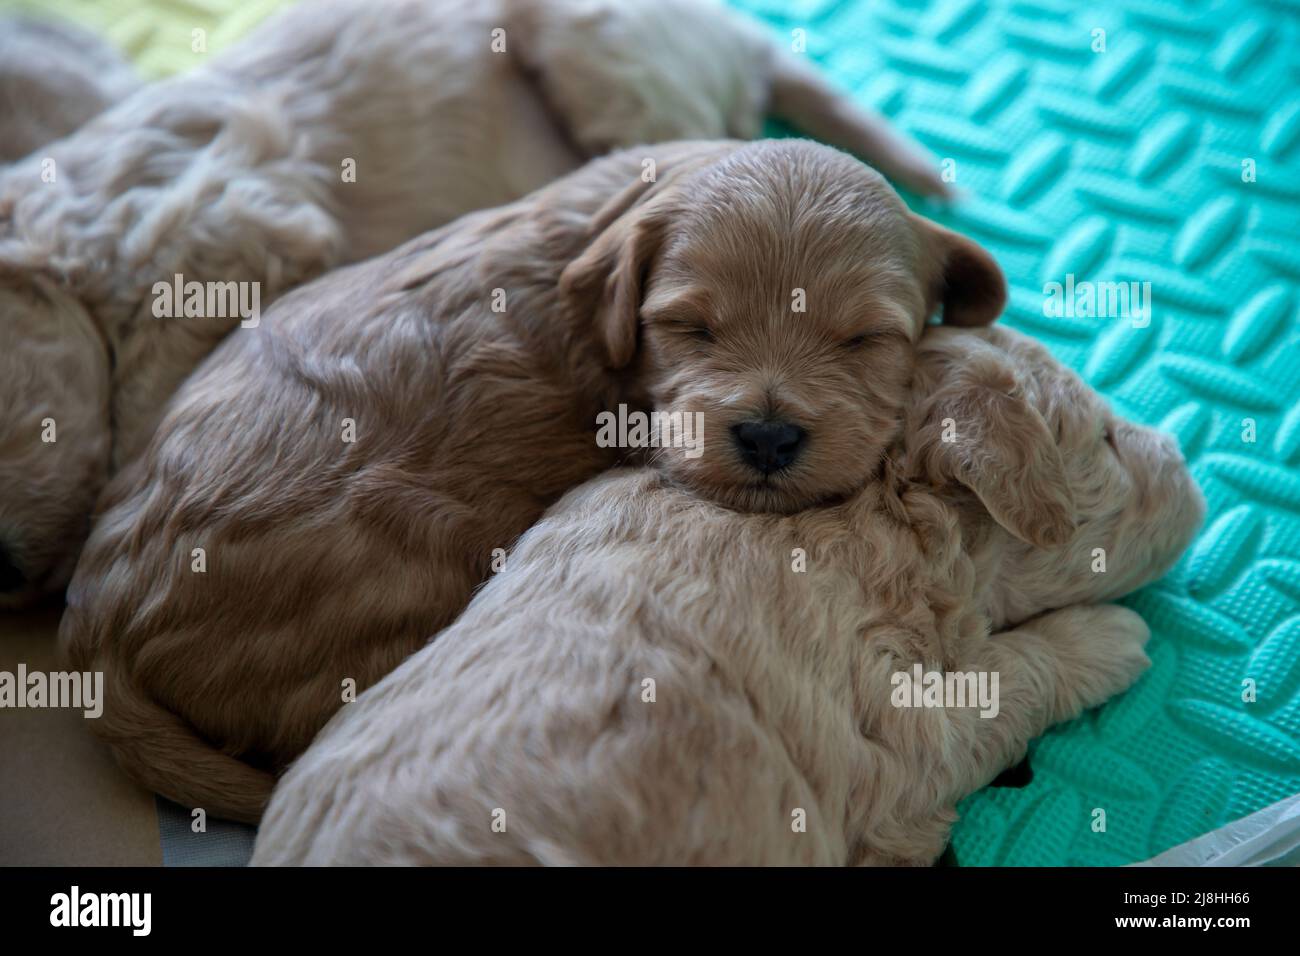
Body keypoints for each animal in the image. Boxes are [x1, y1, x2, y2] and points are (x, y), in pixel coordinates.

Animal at [248, 327, 1201, 868]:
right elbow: (1011, 678)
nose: (1190, 469)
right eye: (1109, 441)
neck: (882, 509)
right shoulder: (898, 744)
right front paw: (1109, 639)